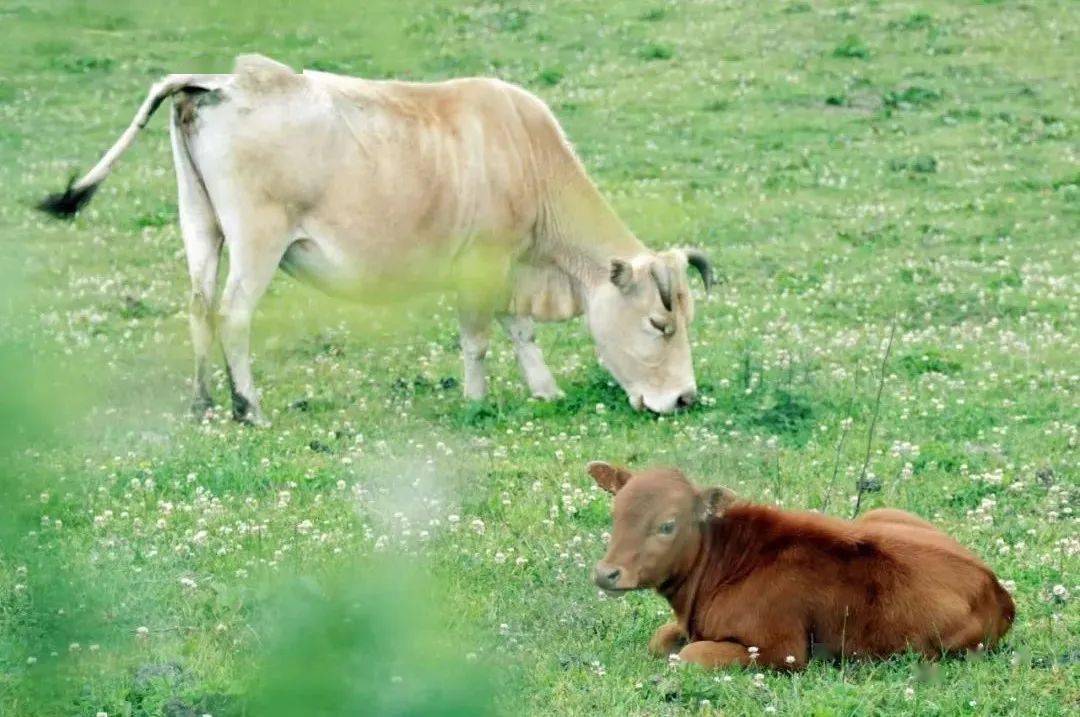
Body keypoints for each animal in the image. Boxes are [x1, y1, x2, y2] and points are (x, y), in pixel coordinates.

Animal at [38, 58, 712, 425]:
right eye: (658, 323)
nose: (684, 399)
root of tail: (225, 82)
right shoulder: (484, 262)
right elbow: (480, 338)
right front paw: (477, 402)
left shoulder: (507, 270)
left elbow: (519, 330)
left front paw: (544, 390)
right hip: (258, 239)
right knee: (232, 313)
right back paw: (248, 406)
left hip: (198, 224)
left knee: (199, 306)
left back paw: (204, 403)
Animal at [587, 462, 1015, 669]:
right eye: (616, 513)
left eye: (667, 525)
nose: (606, 573)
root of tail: (995, 586)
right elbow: (660, 641)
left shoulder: (782, 651)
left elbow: (689, 656)